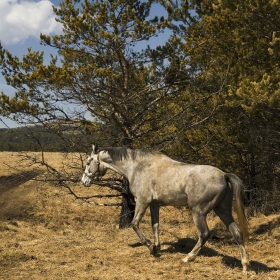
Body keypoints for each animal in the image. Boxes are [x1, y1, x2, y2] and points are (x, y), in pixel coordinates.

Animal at [81, 145, 249, 272]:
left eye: (89, 162)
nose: (84, 181)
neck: (138, 167)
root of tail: (224, 175)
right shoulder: (154, 204)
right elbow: (155, 225)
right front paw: (157, 248)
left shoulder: (142, 201)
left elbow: (134, 224)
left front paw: (150, 247)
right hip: (223, 211)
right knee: (236, 232)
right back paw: (245, 266)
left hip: (198, 212)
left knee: (204, 234)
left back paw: (188, 258)